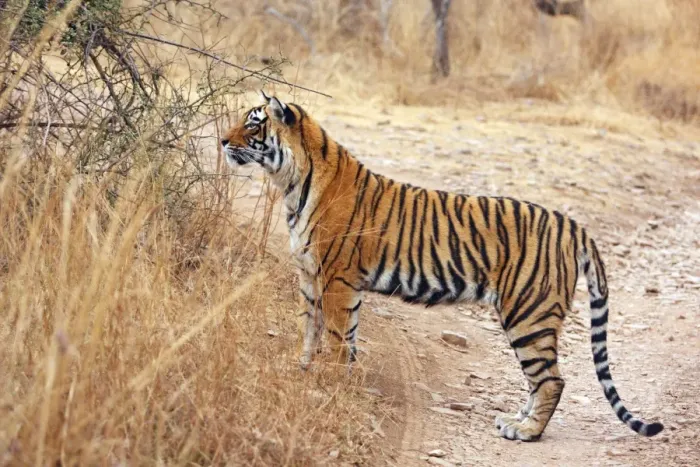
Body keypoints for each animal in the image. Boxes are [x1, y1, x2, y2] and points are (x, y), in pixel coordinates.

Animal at [221, 91, 664, 442]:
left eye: (253, 124)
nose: (223, 141)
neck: (290, 183)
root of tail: (572, 224)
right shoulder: (311, 276)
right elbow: (312, 330)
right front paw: (304, 371)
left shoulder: (337, 280)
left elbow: (335, 337)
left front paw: (328, 383)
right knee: (539, 379)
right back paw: (516, 419)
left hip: (528, 312)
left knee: (552, 379)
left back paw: (526, 431)